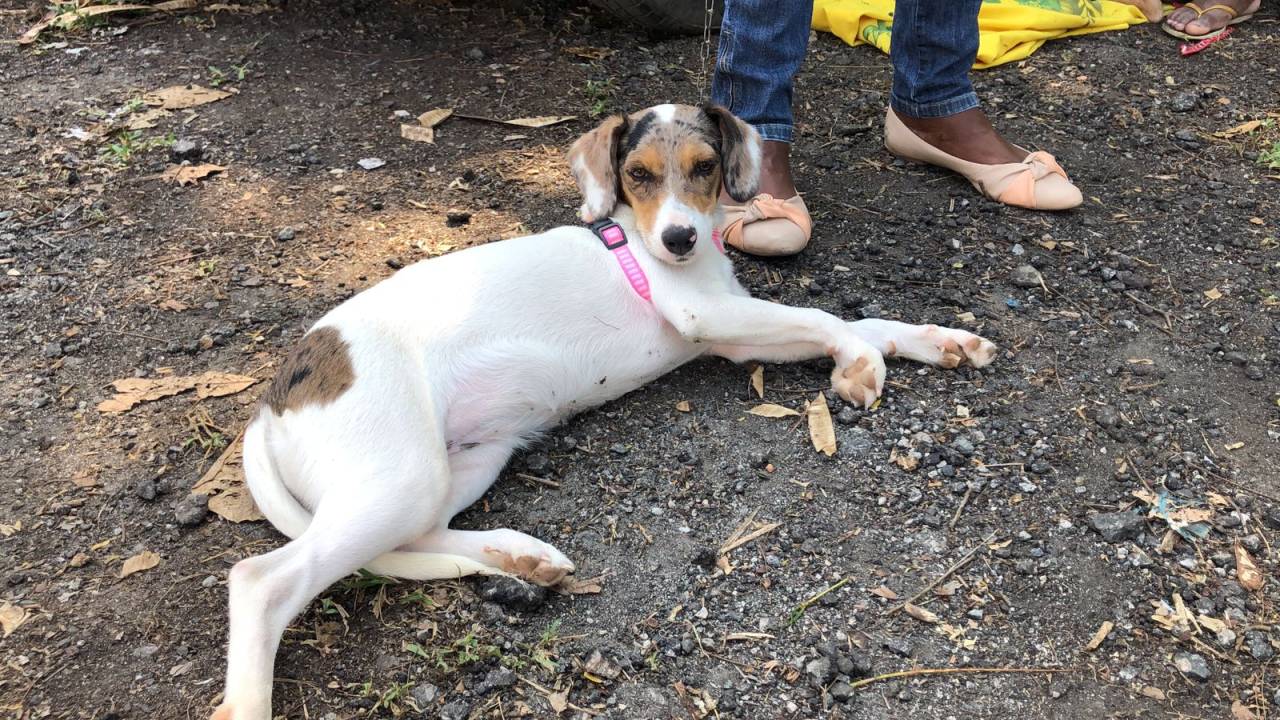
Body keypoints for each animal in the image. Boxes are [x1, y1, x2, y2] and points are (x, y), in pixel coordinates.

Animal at [212, 102, 998, 717]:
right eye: (638, 174)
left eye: (705, 166)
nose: (679, 238)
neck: (652, 245)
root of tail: (270, 403)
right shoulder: (709, 316)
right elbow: (826, 316)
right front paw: (860, 364)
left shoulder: (733, 331)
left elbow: (862, 321)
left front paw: (939, 340)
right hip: (396, 475)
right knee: (262, 580)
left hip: (457, 465)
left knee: (413, 538)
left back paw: (520, 555)